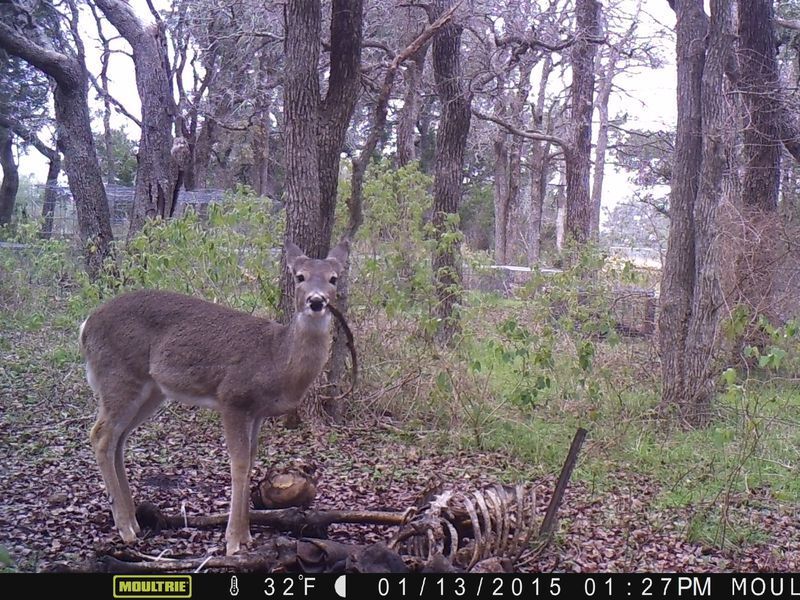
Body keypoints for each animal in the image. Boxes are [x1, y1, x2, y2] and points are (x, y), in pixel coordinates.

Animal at [80, 240, 349, 555]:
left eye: (333, 278)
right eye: (300, 276)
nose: (316, 301)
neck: (276, 359)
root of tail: (85, 326)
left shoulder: (257, 412)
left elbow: (252, 459)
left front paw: (246, 536)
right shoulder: (232, 398)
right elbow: (239, 463)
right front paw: (233, 542)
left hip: (151, 390)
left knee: (118, 439)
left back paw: (134, 522)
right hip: (118, 376)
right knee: (100, 435)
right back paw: (125, 529)